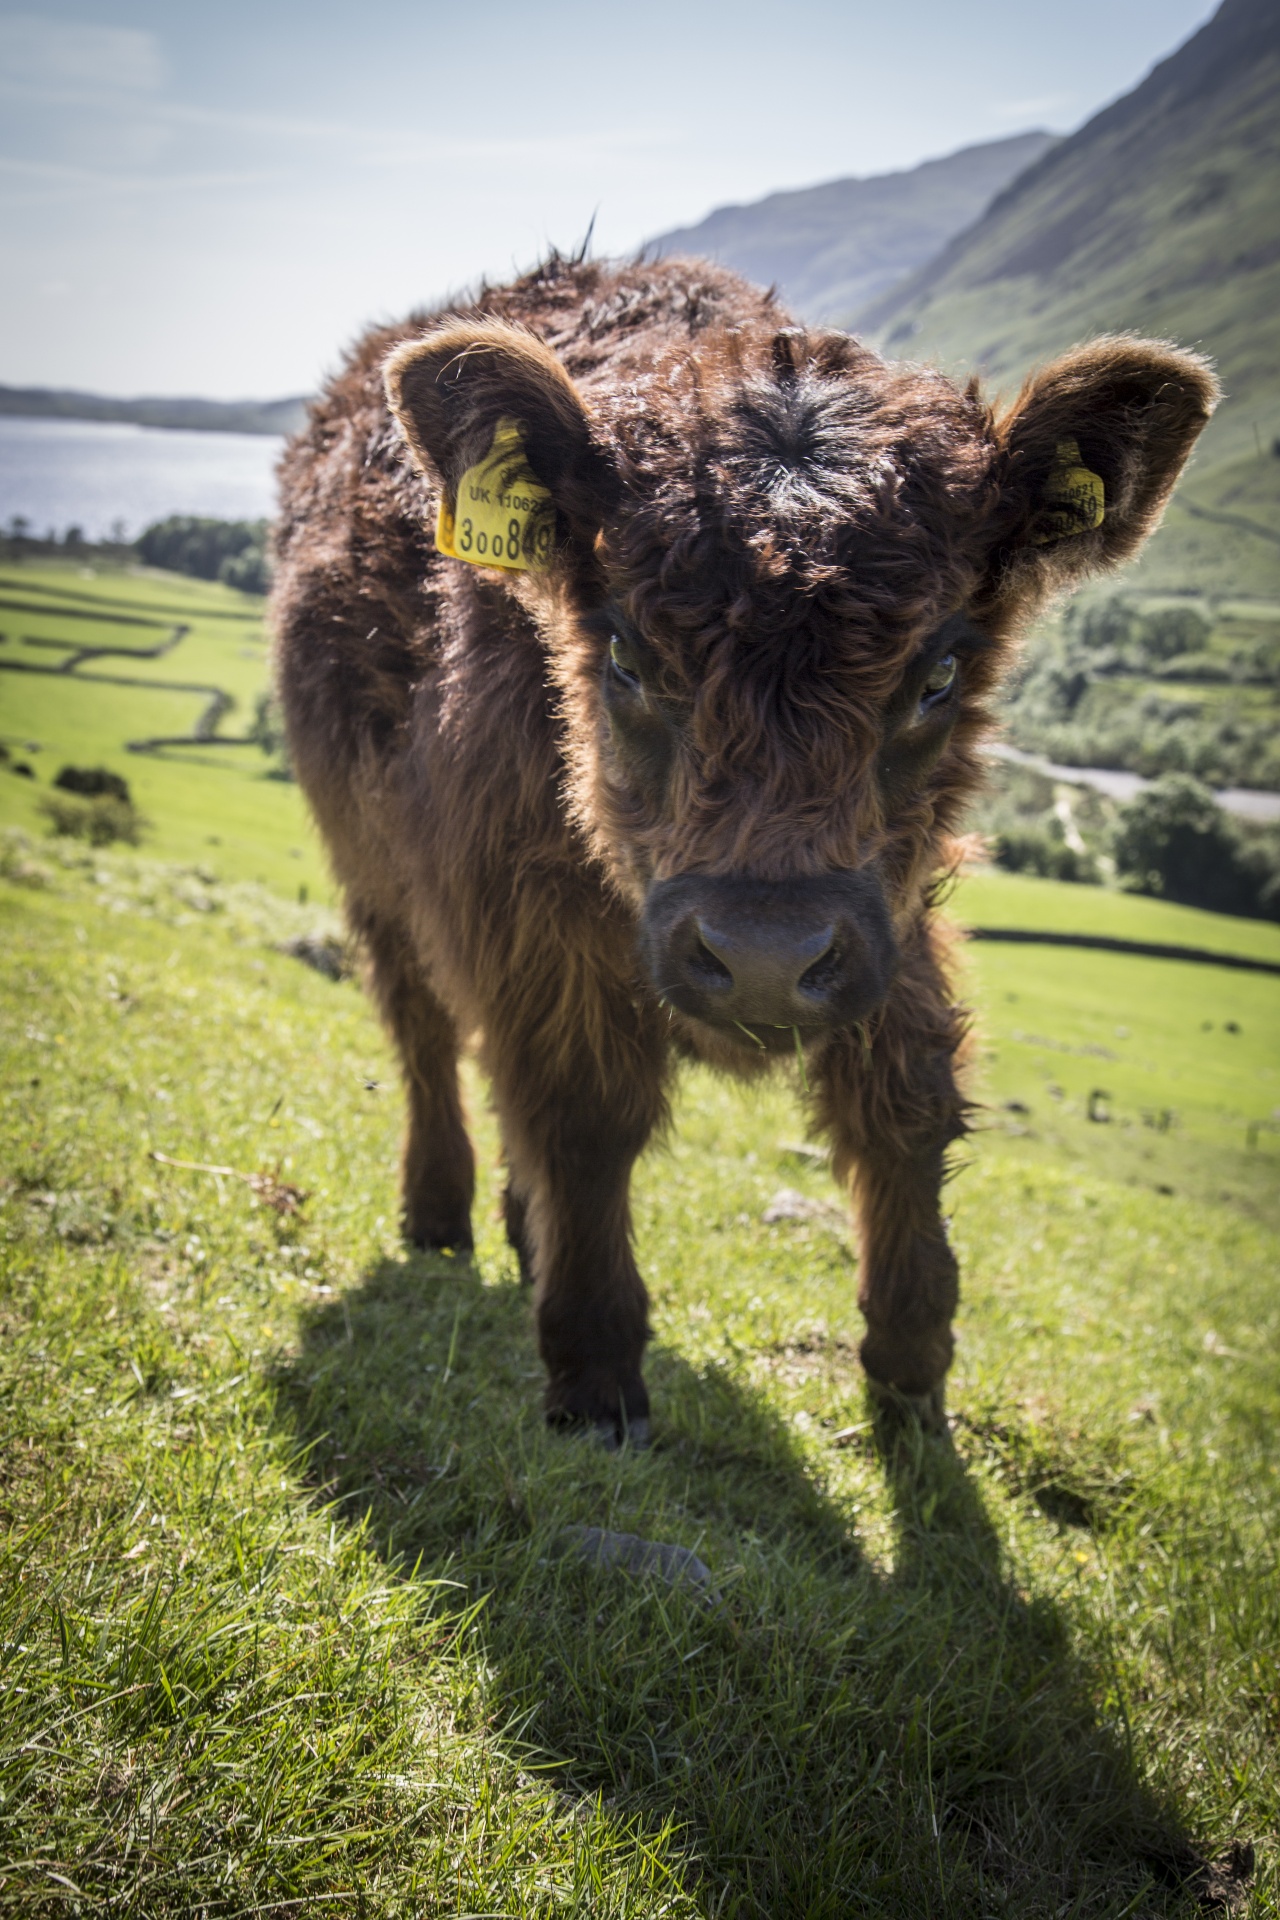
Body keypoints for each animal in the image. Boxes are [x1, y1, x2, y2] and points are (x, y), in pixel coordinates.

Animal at [272, 255, 1220, 1443]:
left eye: (939, 673)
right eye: (625, 655)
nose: (764, 957)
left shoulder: (886, 917)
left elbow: (905, 1102)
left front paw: (911, 1363)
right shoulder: (522, 910)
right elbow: (580, 1111)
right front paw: (595, 1373)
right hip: (373, 870)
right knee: (424, 1030)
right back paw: (439, 1210)